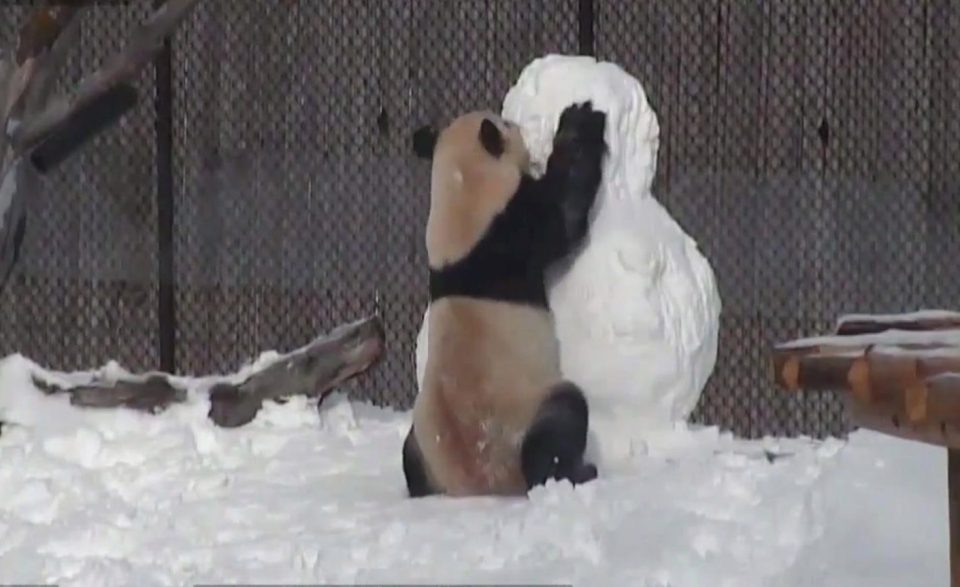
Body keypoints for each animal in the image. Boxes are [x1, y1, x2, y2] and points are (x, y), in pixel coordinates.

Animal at [404, 103, 608, 498]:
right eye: (510, 124)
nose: (516, 124)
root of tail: (480, 483)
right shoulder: (512, 227)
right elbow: (563, 214)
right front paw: (580, 121)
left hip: (423, 439)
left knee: (409, 458)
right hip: (524, 411)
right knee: (560, 421)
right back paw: (572, 472)